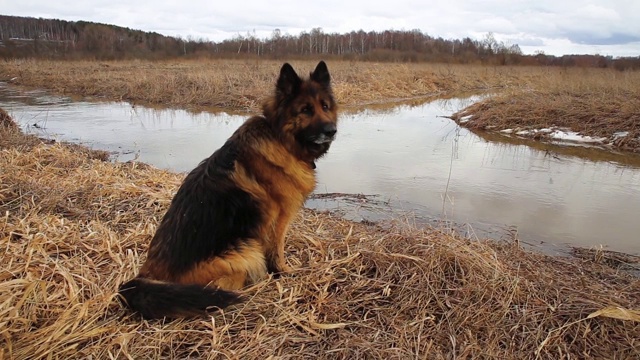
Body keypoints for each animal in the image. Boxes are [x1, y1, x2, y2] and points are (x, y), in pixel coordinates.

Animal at [120, 61, 340, 318]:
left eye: (325, 106)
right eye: (305, 109)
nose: (331, 130)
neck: (280, 138)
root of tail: (144, 278)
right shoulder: (279, 219)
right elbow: (277, 251)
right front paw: (283, 272)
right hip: (245, 252)